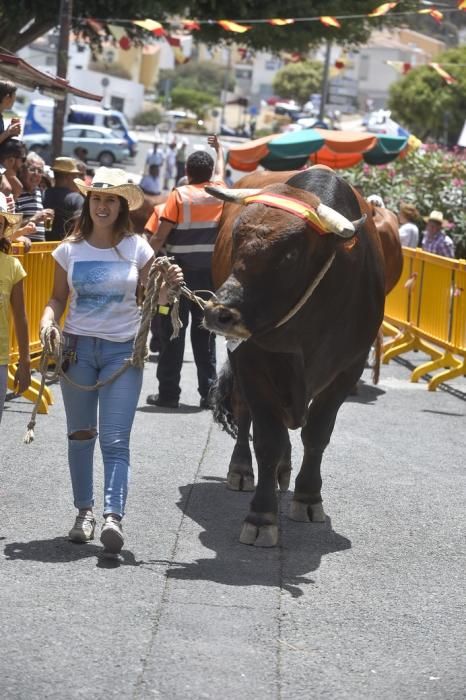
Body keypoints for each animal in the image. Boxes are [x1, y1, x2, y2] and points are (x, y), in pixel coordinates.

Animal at [204, 165, 386, 548]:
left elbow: (317, 433)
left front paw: (308, 497)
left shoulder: (348, 369)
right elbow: (268, 440)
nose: (220, 313)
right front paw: (261, 516)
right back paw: (242, 469)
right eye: (237, 238)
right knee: (246, 414)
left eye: (289, 256)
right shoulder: (252, 361)